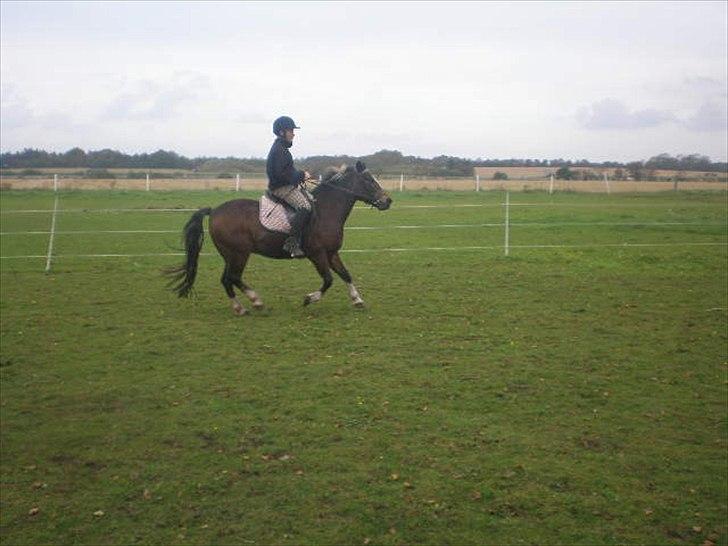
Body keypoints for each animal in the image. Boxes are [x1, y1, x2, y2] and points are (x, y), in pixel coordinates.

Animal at [165, 161, 392, 314]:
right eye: (368, 180)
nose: (388, 201)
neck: (326, 211)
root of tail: (214, 211)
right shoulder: (317, 254)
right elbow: (328, 280)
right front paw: (309, 299)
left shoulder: (331, 253)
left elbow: (346, 274)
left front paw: (357, 299)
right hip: (239, 253)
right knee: (233, 277)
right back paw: (255, 301)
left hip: (230, 255)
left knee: (227, 279)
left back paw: (240, 307)